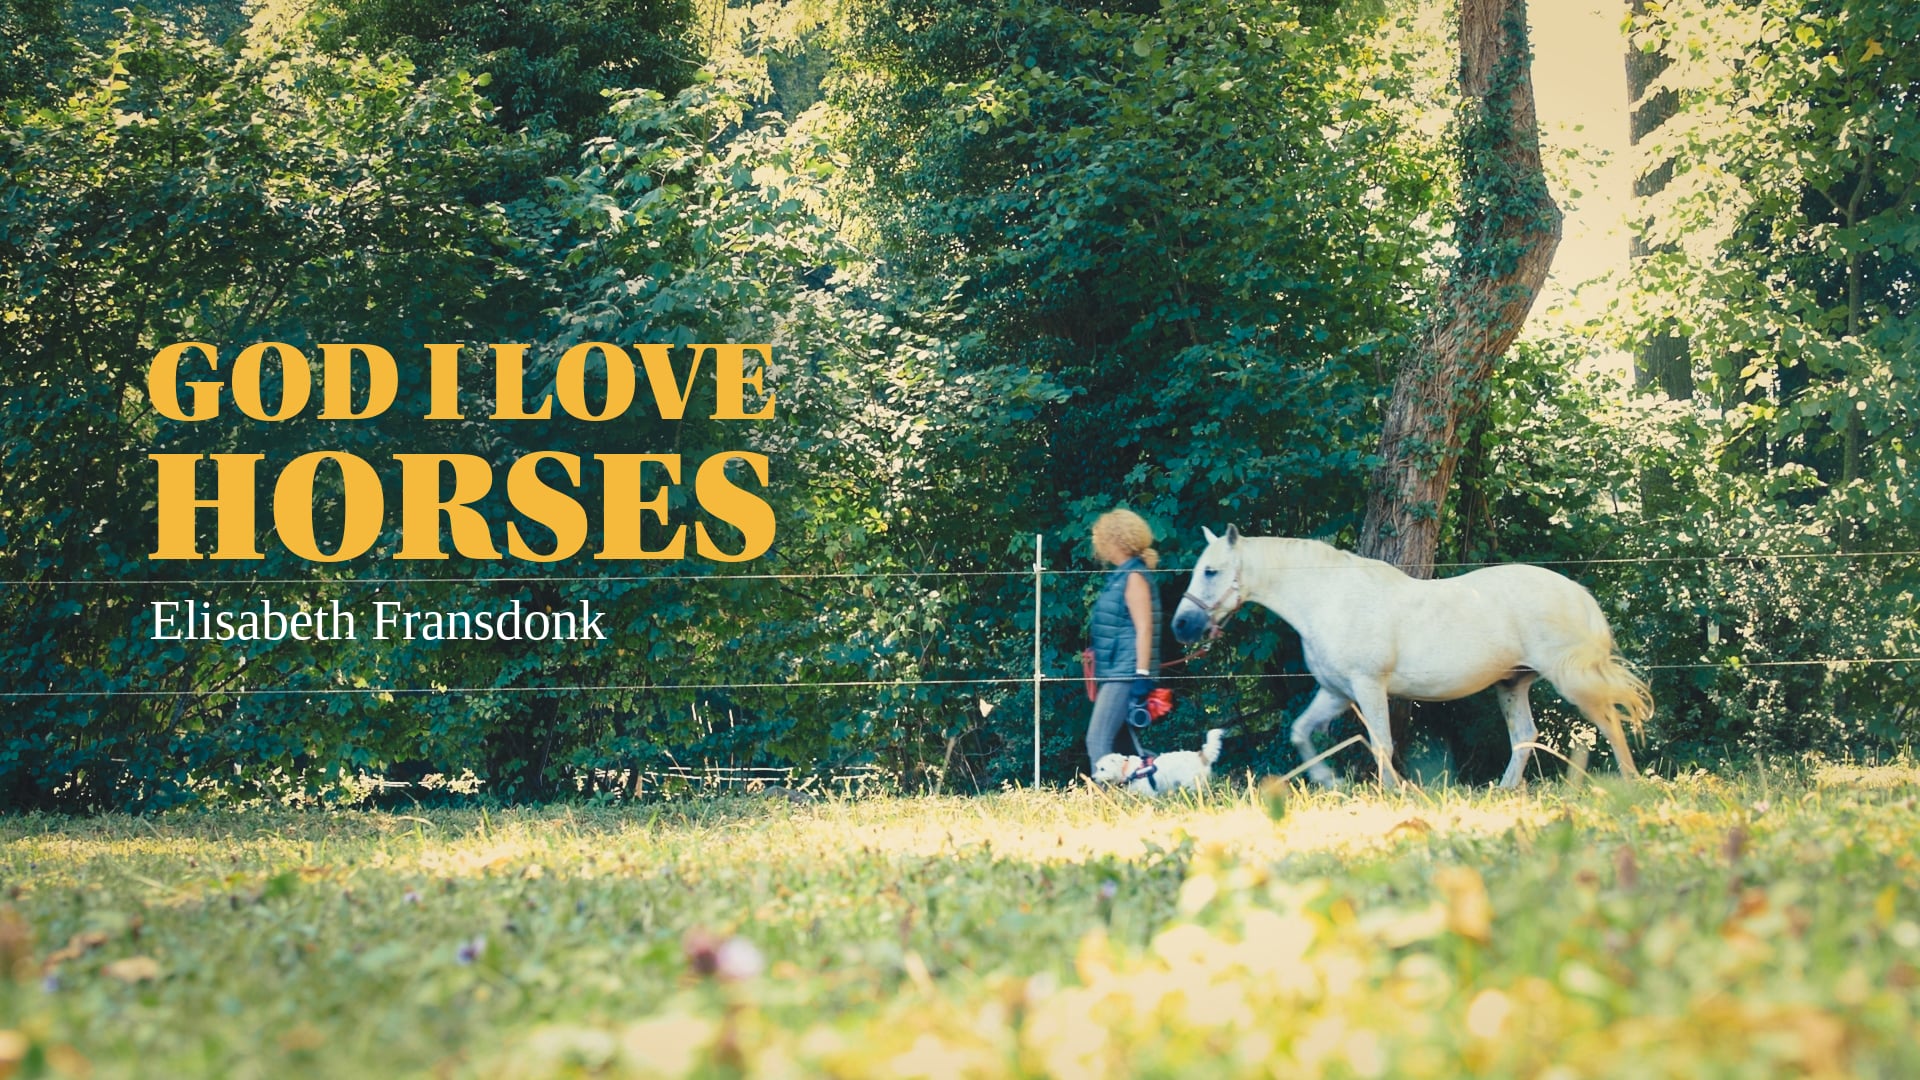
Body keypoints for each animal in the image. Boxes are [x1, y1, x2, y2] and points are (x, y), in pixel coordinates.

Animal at [1169, 526, 1653, 788]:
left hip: (1569, 680)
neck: (1329, 598)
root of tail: (1578, 593)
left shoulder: (1368, 686)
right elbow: (1301, 733)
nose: (1181, 627)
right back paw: (1503, 789)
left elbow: (1382, 743)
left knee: (1610, 722)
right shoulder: (1334, 692)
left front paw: (1391, 792)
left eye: (1211, 571)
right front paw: (1329, 781)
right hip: (1513, 684)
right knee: (1524, 736)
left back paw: (1631, 784)